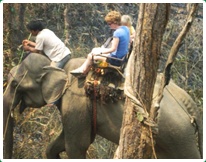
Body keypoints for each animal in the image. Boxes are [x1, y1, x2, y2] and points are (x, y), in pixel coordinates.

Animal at [3, 52, 203, 158]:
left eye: (14, 84)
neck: (61, 66)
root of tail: (189, 102)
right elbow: (60, 144)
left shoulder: (75, 101)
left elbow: (77, 145)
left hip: (179, 136)